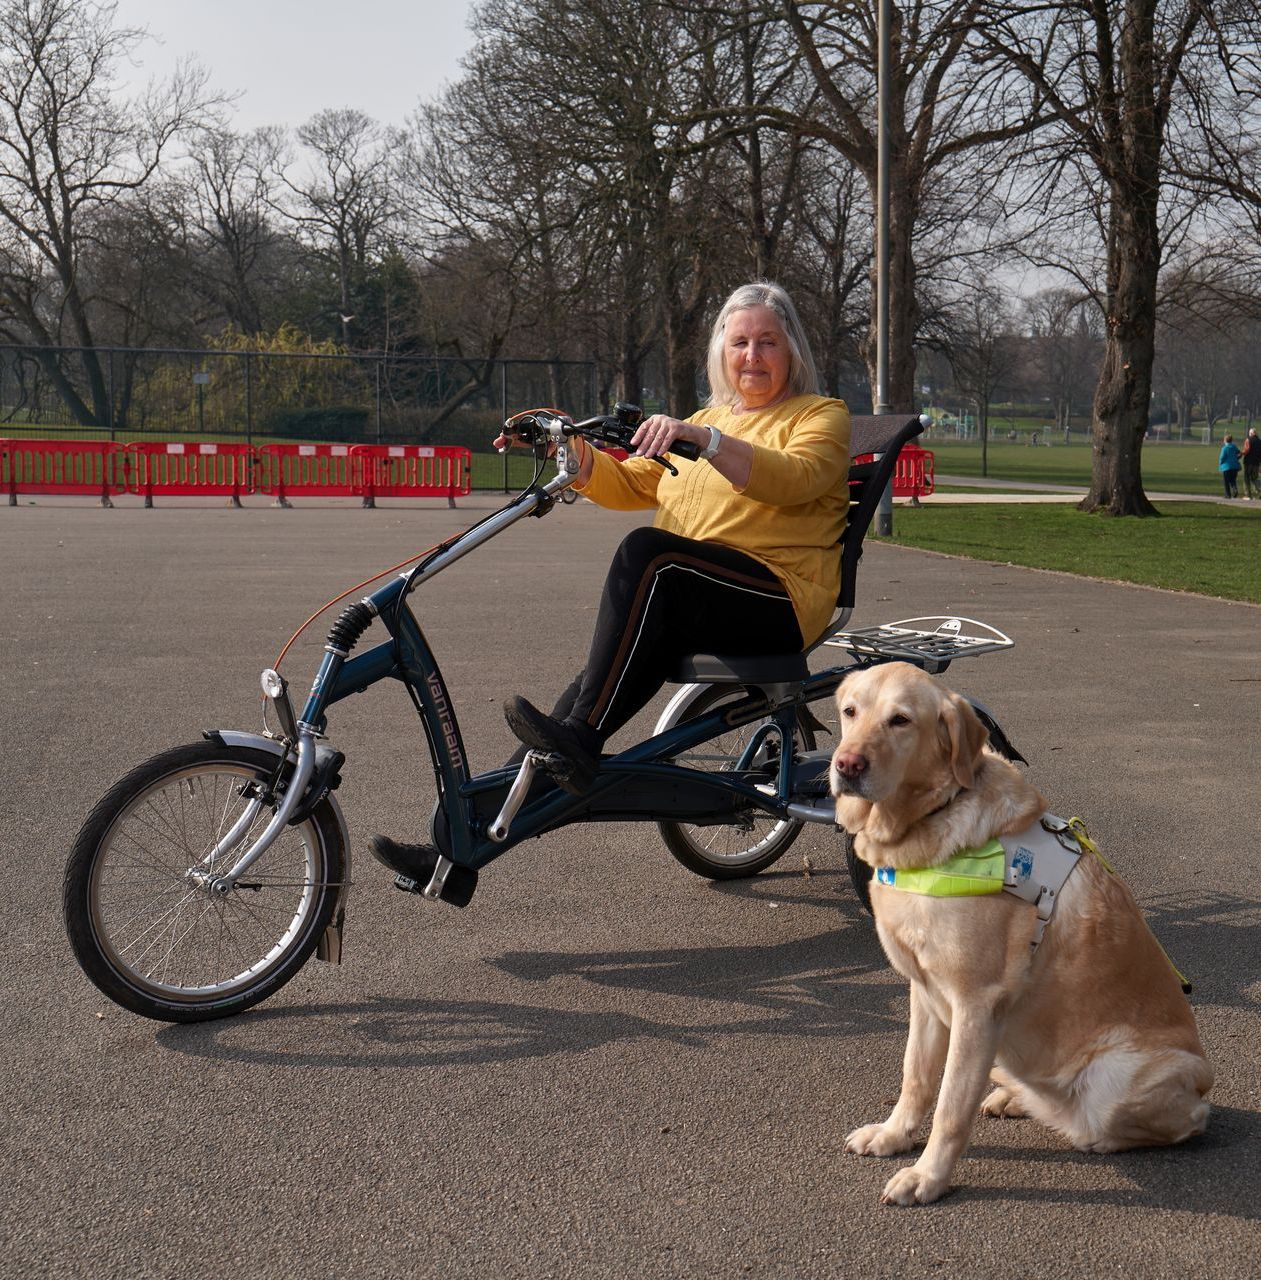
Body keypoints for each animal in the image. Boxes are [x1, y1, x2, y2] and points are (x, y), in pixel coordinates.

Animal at [824, 665, 1208, 1203]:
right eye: (850, 711)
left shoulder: (976, 1005)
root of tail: (1204, 1080)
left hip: (1120, 1077)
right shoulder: (924, 994)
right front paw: (893, 1135)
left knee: (1160, 1122)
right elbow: (915, 1077)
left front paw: (928, 1177)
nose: (847, 764)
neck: (930, 820)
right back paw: (1015, 1096)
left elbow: (950, 1107)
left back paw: (1083, 1128)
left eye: (900, 720)